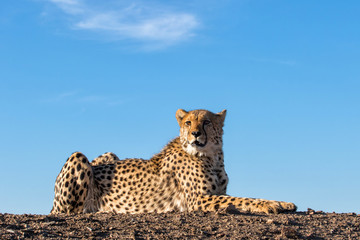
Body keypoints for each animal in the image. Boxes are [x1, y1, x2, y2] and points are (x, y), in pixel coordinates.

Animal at [51, 109, 298, 214]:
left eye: (206, 122)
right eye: (188, 122)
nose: (195, 134)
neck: (212, 157)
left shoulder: (217, 192)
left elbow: (244, 197)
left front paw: (283, 203)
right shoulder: (198, 200)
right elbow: (244, 199)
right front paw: (271, 205)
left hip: (110, 154)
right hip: (78, 158)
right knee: (71, 211)